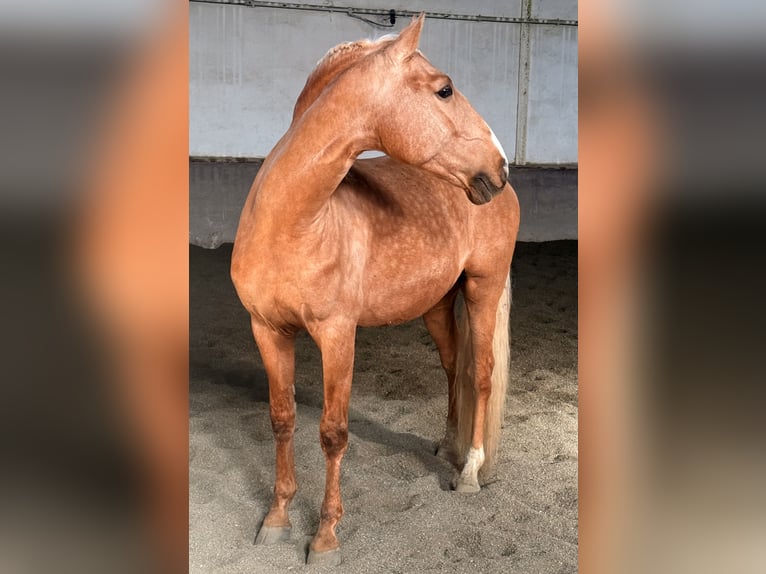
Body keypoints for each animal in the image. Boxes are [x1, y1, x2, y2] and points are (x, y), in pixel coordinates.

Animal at [232, 13, 520, 568]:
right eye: (444, 89)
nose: (499, 167)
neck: (294, 222)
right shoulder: (267, 330)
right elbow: (282, 418)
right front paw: (276, 519)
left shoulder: (337, 336)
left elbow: (332, 432)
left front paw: (324, 537)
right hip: (436, 306)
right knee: (453, 367)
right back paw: (446, 446)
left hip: (483, 288)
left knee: (481, 374)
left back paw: (469, 471)